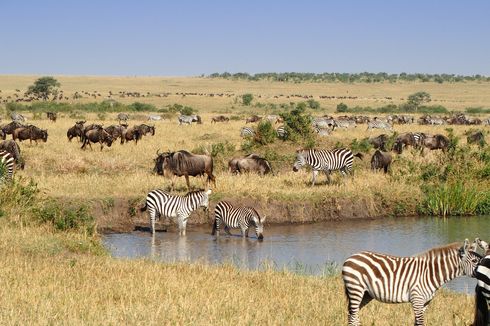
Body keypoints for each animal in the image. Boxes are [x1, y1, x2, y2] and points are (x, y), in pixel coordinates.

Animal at [340, 239, 482, 326]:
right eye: (475, 261)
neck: (430, 273)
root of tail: (351, 257)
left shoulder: (425, 303)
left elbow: (416, 323)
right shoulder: (417, 299)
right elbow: (420, 323)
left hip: (366, 294)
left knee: (353, 315)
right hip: (356, 290)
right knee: (353, 316)